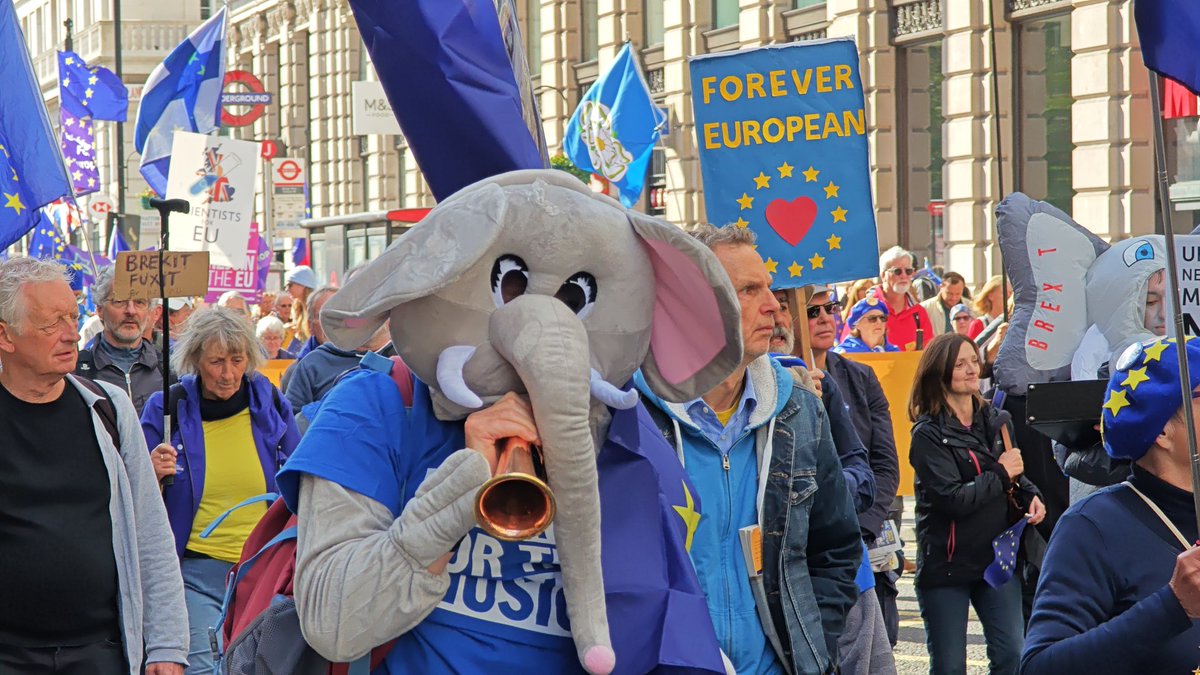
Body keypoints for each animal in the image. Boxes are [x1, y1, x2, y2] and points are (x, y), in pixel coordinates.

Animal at [310, 169, 745, 673]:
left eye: (579, 294)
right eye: (509, 280)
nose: (602, 659)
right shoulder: (350, 412)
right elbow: (331, 592)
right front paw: (463, 474)